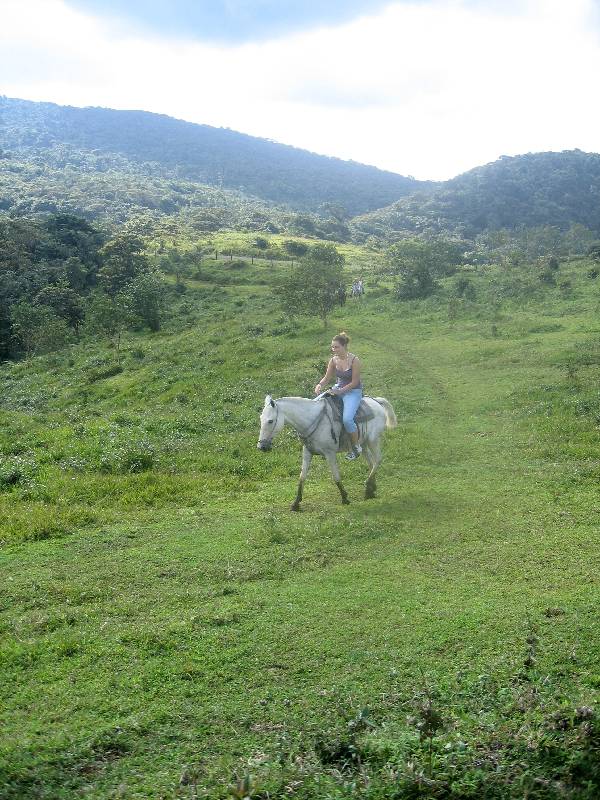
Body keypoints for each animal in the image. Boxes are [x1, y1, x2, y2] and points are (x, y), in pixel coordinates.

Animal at [255, 396, 396, 512]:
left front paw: (344, 498)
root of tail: (376, 401)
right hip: (365, 443)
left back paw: (367, 489)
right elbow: (302, 477)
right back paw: (372, 489)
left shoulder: (330, 453)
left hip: (373, 440)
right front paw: (296, 503)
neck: (312, 421)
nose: (261, 446)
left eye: (270, 421)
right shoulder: (307, 452)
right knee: (371, 463)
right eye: (261, 419)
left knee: (377, 460)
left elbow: (336, 476)